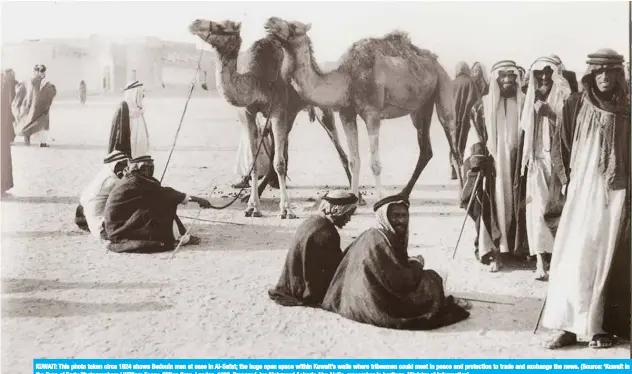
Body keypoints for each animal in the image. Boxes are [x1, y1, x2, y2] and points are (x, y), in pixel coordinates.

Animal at [190, 19, 354, 219]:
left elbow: (279, 162)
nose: (195, 22)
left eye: (222, 26)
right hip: (288, 114)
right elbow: (256, 161)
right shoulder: (248, 112)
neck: (257, 78)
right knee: (281, 143)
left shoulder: (278, 108)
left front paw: (286, 209)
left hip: (320, 105)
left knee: (336, 145)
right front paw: (253, 206)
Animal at [264, 17, 462, 205]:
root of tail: (435, 62)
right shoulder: (346, 113)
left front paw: (380, 199)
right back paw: (402, 194)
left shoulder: (372, 113)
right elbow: (354, 160)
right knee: (426, 150)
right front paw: (352, 198)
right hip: (421, 108)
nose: (269, 21)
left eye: (293, 25)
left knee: (454, 144)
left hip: (444, 88)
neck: (347, 79)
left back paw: (462, 198)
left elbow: (374, 163)